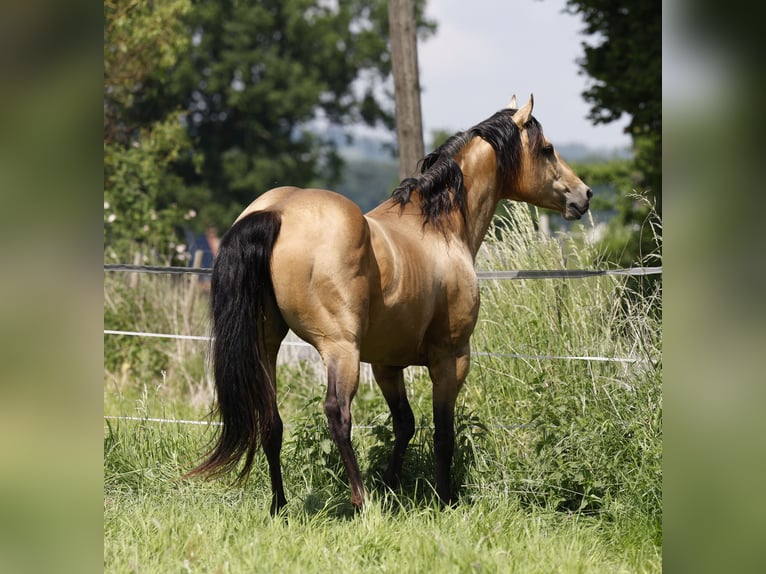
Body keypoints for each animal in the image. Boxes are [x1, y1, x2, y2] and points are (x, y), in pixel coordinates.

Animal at [186, 95, 592, 516]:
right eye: (547, 149)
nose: (584, 195)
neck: (439, 227)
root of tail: (277, 211)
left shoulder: (386, 364)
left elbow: (405, 425)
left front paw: (392, 485)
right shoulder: (451, 358)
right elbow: (442, 433)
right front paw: (443, 499)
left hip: (266, 343)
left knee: (271, 420)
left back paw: (280, 505)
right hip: (340, 349)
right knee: (337, 414)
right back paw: (362, 501)